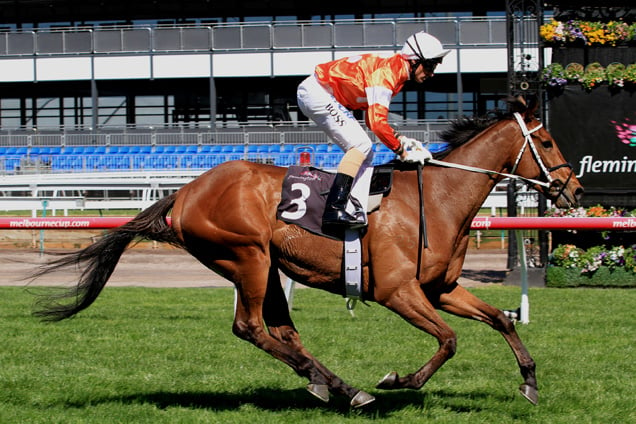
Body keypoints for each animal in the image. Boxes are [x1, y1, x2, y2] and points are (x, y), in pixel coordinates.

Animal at [33, 96, 580, 408]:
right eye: (550, 142)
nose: (572, 191)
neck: (439, 198)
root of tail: (186, 191)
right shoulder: (397, 291)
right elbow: (448, 341)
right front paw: (399, 380)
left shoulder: (439, 288)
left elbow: (501, 319)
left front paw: (530, 383)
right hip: (247, 257)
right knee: (251, 327)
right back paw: (343, 387)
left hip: (267, 265)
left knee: (283, 333)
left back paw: (334, 385)